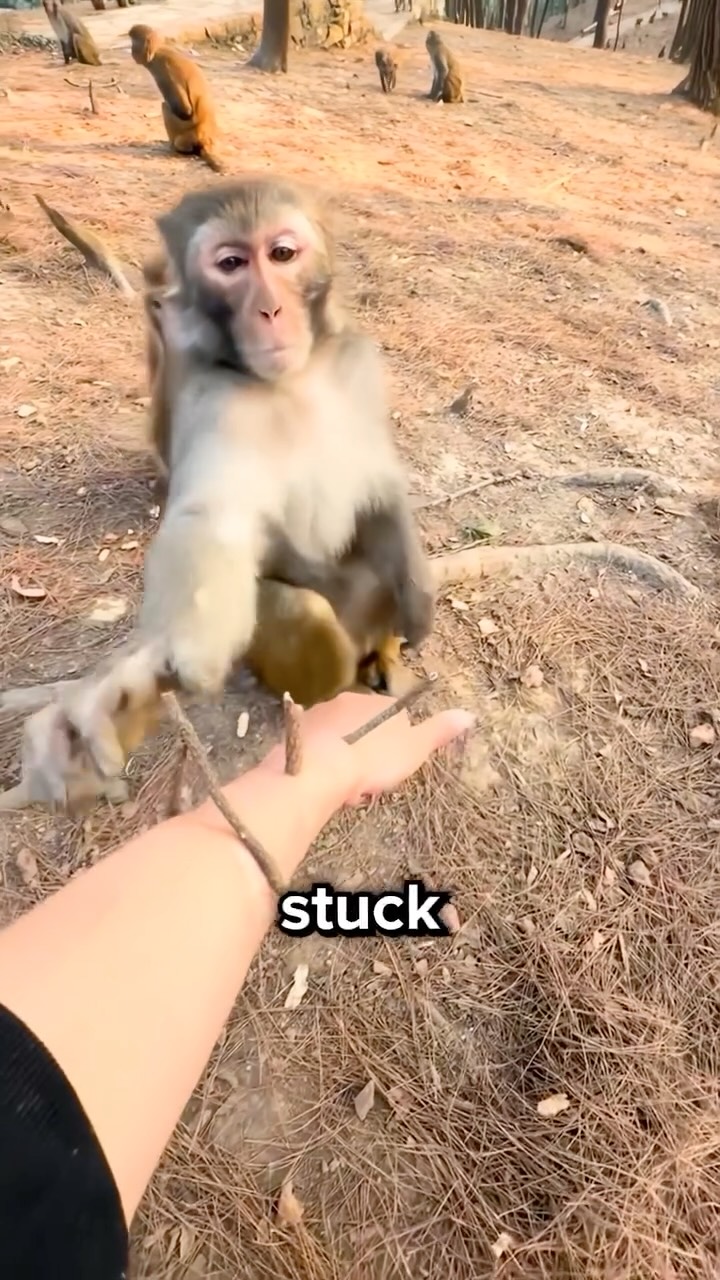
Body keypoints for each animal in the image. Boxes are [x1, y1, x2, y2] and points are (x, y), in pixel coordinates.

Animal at [129, 25, 224, 174]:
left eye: (134, 43)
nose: (131, 50)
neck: (159, 50)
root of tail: (204, 137)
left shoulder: (162, 68)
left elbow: (185, 110)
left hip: (186, 136)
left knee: (165, 106)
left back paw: (174, 147)